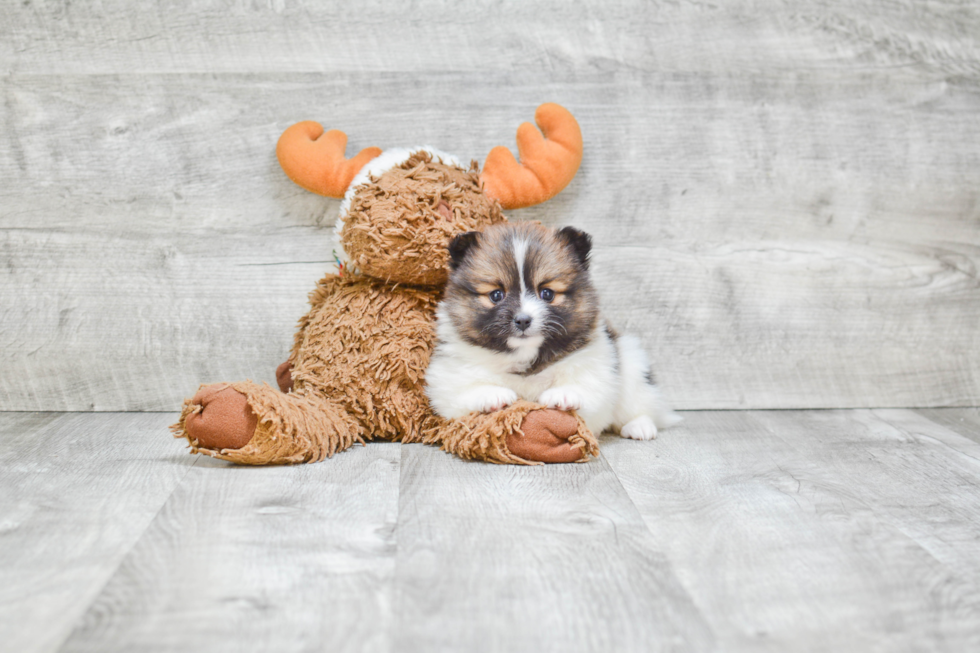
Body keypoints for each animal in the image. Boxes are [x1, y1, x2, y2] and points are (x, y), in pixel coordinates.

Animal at [424, 222, 676, 440]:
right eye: (496, 295)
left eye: (547, 293)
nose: (523, 320)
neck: (525, 356)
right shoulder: (448, 376)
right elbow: (461, 392)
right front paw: (491, 394)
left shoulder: (597, 370)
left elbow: (587, 389)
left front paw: (564, 393)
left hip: (632, 368)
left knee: (642, 405)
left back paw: (639, 426)